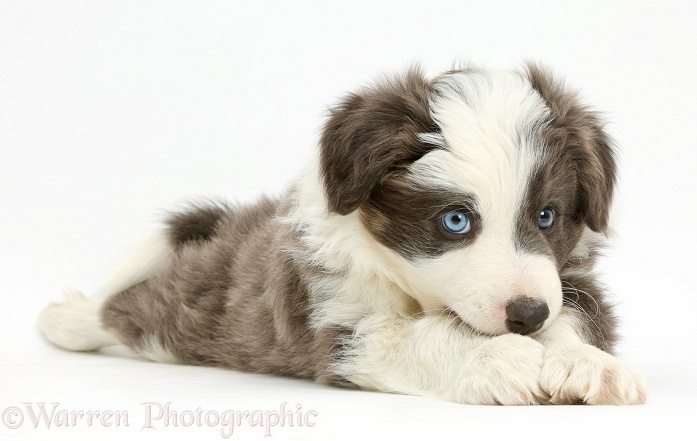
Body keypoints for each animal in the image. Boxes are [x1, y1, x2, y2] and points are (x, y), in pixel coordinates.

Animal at [38, 62, 648, 406]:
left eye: (547, 216)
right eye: (454, 221)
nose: (525, 317)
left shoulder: (567, 279)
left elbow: (576, 317)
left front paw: (586, 363)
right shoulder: (332, 321)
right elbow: (413, 338)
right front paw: (497, 359)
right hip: (204, 306)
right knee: (139, 311)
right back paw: (66, 319)